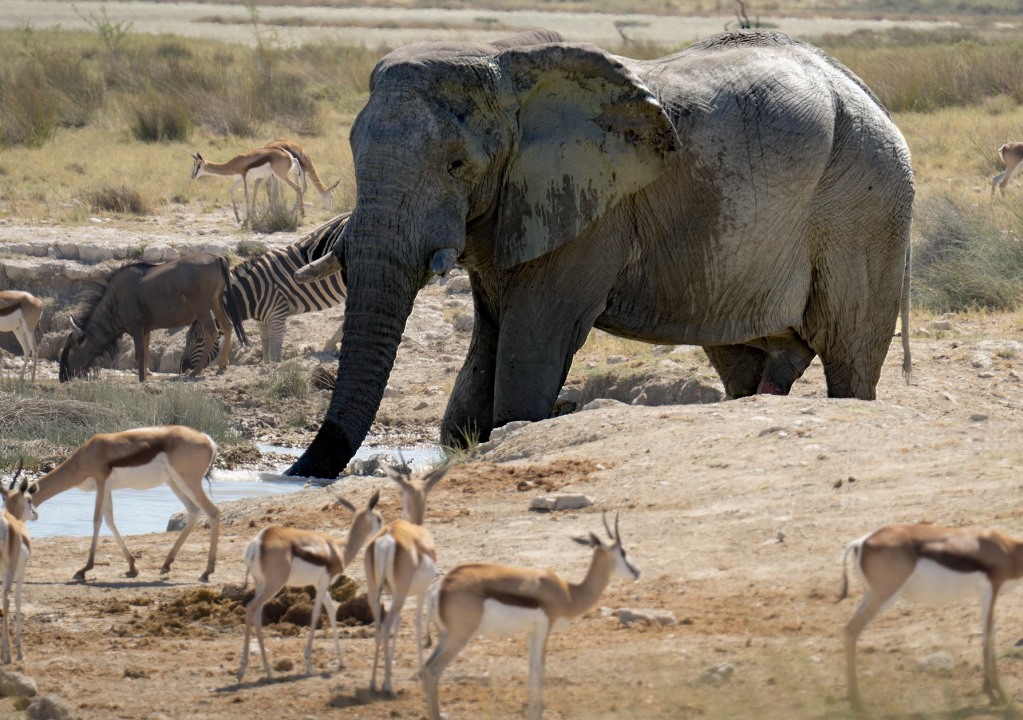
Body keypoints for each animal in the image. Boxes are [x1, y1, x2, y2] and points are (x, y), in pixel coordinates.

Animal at [286, 29, 914, 480]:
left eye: (457, 165)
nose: (295, 476)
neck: (506, 66)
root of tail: (867, 93)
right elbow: (483, 354)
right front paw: (467, 441)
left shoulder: (590, 211)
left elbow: (535, 342)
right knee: (744, 360)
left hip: (867, 203)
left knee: (850, 360)